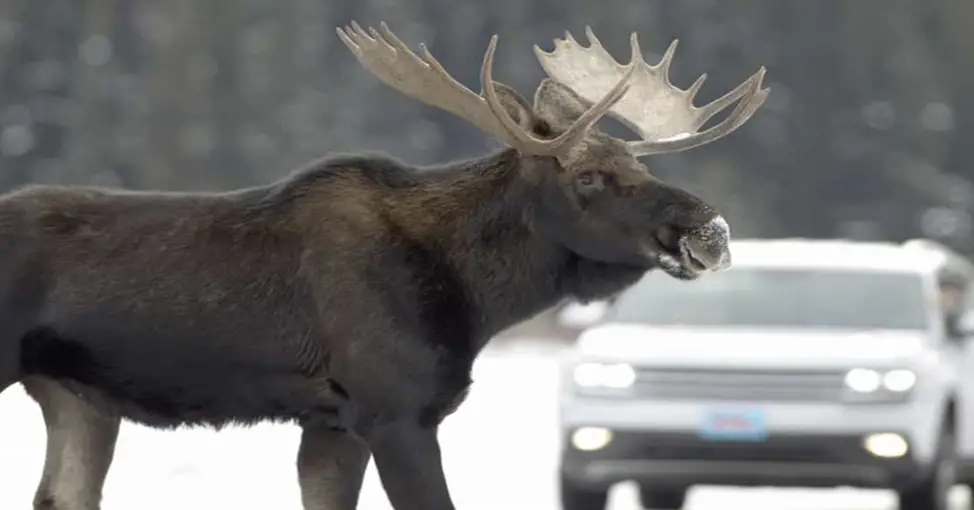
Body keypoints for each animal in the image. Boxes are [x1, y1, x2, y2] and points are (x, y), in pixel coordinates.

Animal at [0, 21, 769, 510]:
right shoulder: (395, 410)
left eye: (641, 166)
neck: (477, 298)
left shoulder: (332, 423)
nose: (710, 231)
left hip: (77, 398)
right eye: (587, 178)